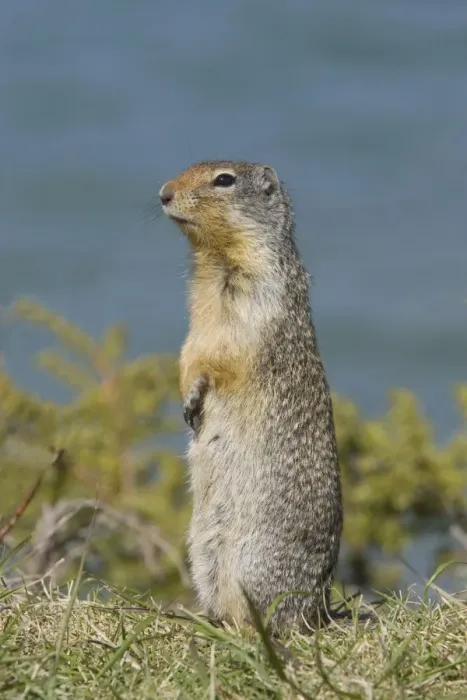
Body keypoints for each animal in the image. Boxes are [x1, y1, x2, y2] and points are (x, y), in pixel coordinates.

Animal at [159, 160, 343, 635]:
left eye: (224, 180)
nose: (164, 193)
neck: (215, 259)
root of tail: (317, 609)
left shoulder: (257, 298)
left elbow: (221, 354)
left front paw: (194, 395)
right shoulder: (199, 318)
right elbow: (188, 349)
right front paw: (186, 396)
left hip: (252, 562)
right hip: (205, 555)